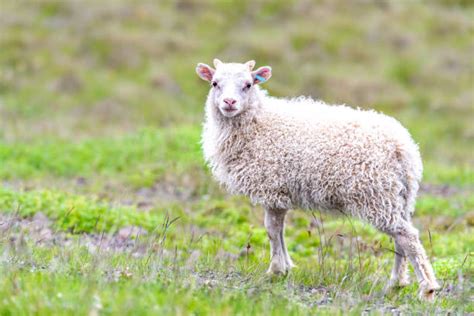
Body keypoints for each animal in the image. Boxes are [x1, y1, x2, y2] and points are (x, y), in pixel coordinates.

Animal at [194, 58, 438, 298]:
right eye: (215, 83)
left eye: (248, 85)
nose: (229, 102)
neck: (258, 123)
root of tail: (403, 147)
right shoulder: (280, 191)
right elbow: (279, 231)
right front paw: (286, 267)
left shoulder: (272, 187)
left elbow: (272, 230)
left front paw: (275, 271)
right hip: (399, 196)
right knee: (401, 236)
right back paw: (397, 283)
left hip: (376, 194)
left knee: (407, 236)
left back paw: (426, 287)